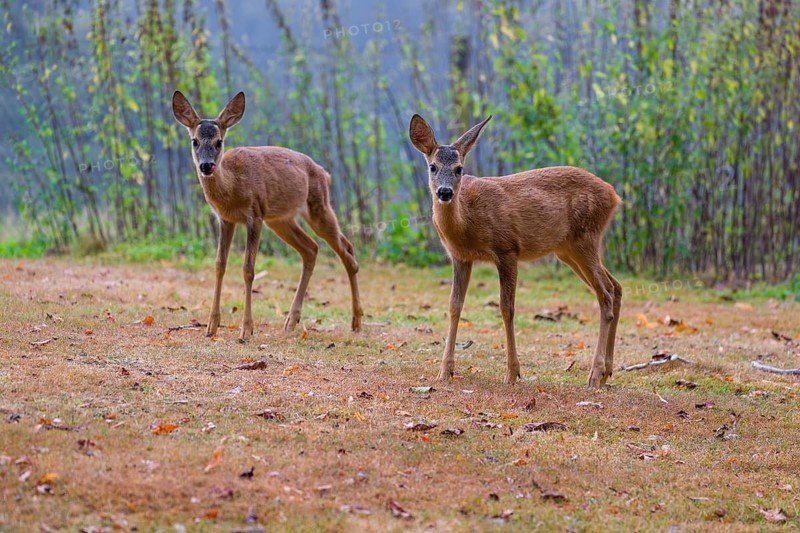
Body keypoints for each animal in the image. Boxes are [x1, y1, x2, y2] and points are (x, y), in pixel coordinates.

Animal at [172, 90, 363, 342]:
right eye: (194, 141)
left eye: (219, 142)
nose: (206, 166)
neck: (232, 188)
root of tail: (326, 174)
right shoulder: (226, 219)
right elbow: (219, 265)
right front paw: (211, 326)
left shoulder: (255, 214)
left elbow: (248, 269)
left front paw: (246, 330)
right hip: (280, 220)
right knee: (311, 249)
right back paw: (291, 321)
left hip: (318, 207)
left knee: (347, 251)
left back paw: (356, 321)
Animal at [409, 114, 622, 388]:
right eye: (433, 167)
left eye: (459, 169)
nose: (444, 192)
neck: (467, 222)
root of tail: (614, 195)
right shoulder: (460, 257)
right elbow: (455, 305)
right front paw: (445, 371)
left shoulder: (507, 248)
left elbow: (506, 308)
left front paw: (512, 374)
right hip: (569, 249)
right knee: (615, 286)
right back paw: (606, 372)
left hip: (586, 238)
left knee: (605, 293)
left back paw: (594, 375)